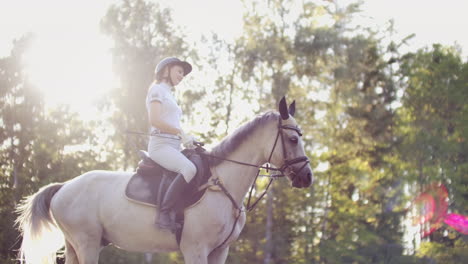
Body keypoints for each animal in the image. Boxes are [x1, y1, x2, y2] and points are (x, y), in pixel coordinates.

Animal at [16, 97, 312, 264]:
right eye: (292, 139)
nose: (307, 177)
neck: (221, 184)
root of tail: (64, 187)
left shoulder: (219, 251)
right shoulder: (196, 249)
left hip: (76, 245)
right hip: (86, 243)